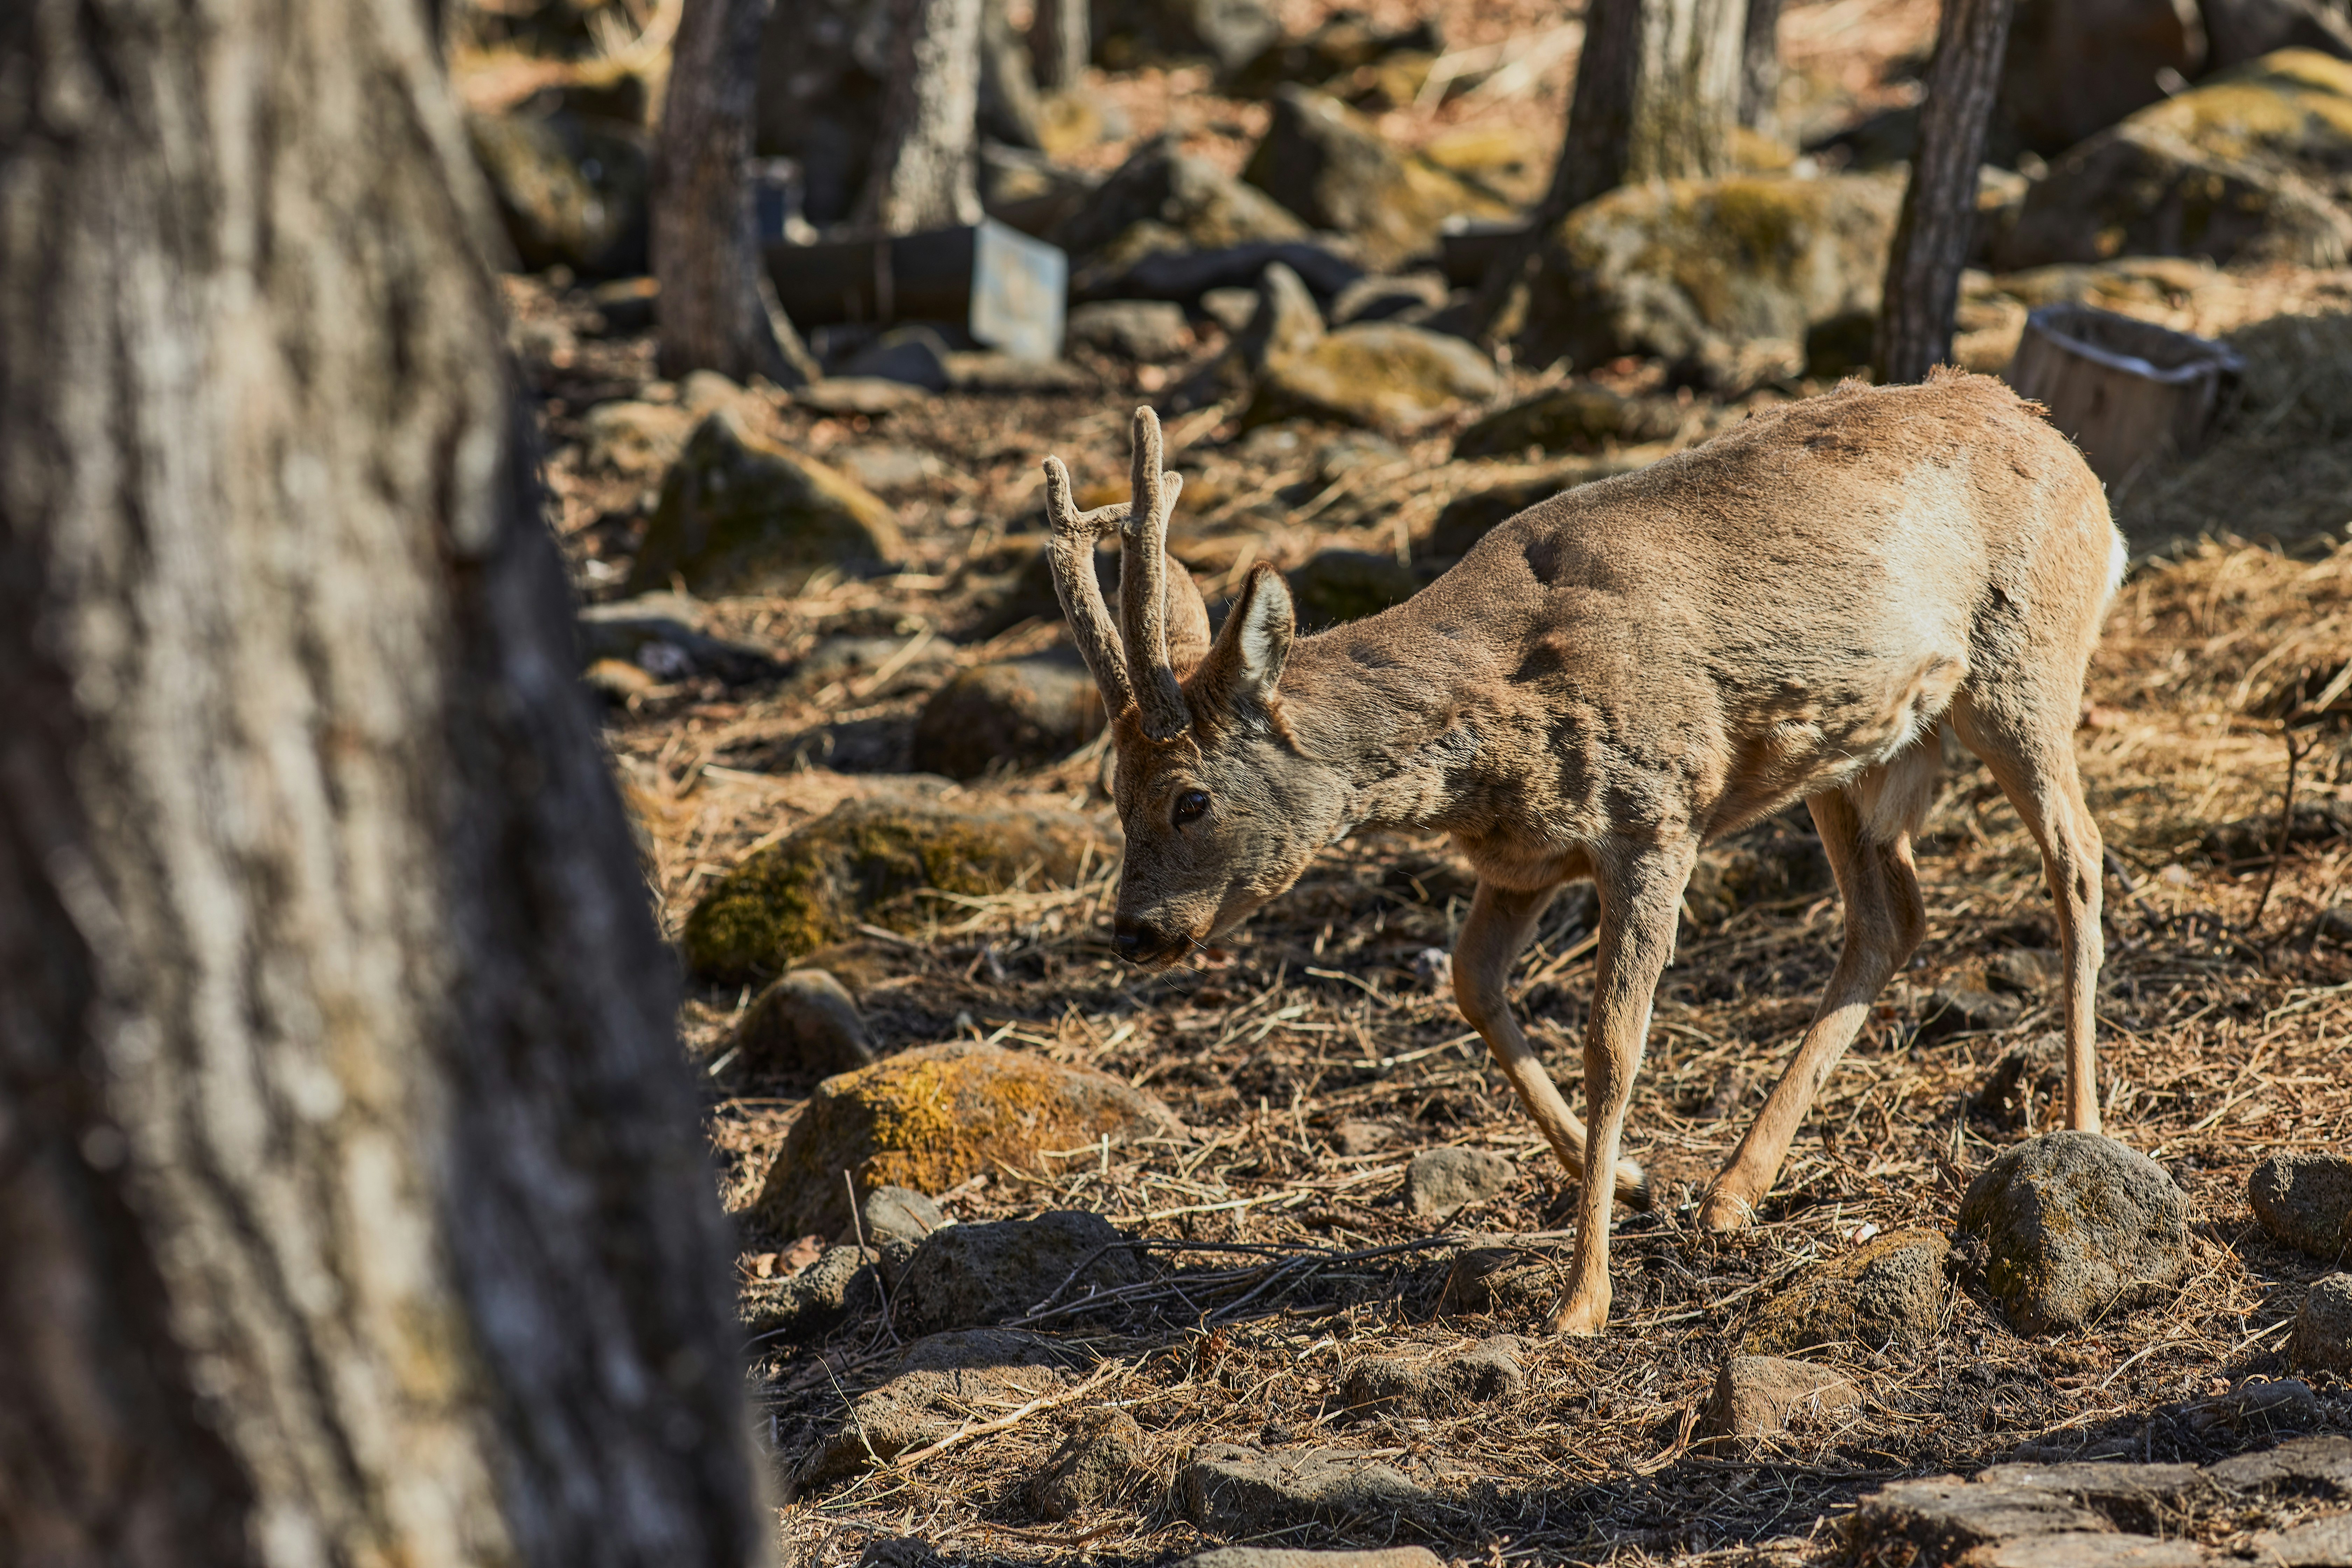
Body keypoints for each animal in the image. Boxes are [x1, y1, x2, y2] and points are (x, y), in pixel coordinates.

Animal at [1040, 371, 2126, 1335]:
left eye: (1190, 800)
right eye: (1112, 795)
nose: (1134, 931)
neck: (1499, 717)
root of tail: (2075, 461)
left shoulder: (1657, 814)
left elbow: (1613, 1044)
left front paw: (1582, 1301)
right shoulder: (1520, 860)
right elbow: (1471, 981)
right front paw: (1641, 1185)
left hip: (2023, 664)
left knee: (2078, 856)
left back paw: (2081, 1130)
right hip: (1854, 751)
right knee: (1891, 914)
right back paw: (1731, 1193)